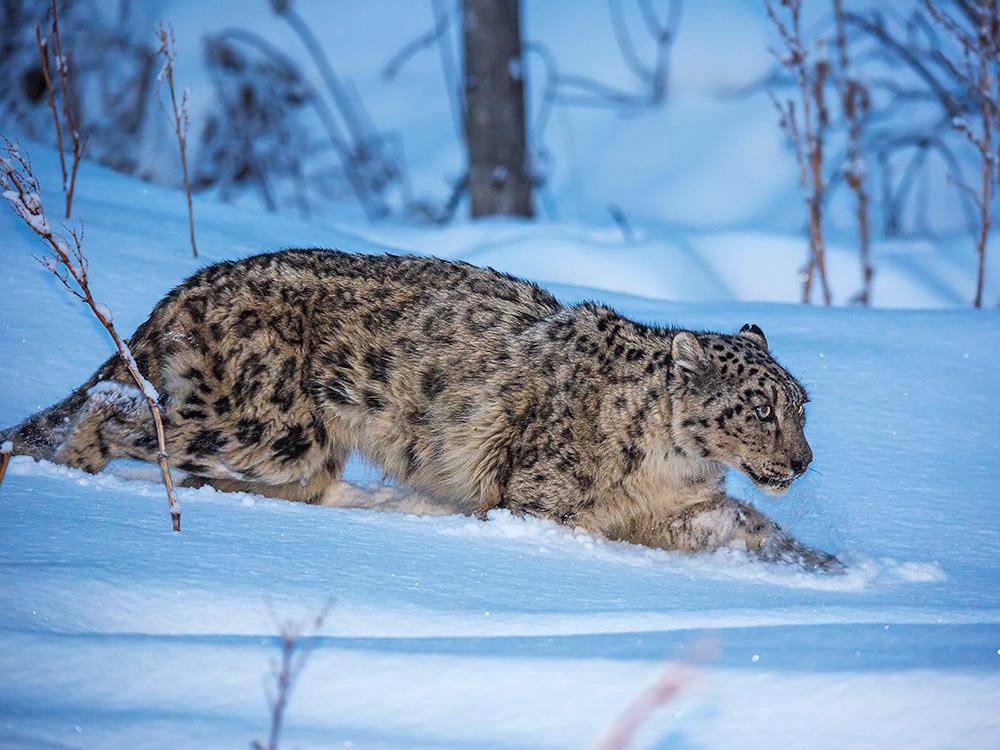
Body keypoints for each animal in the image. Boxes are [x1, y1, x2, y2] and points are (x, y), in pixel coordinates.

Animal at [1, 249, 840, 571]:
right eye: (758, 408)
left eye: (802, 407)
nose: (802, 461)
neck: (670, 466)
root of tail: (188, 287)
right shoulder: (542, 503)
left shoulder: (682, 508)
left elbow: (752, 528)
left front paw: (838, 568)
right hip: (266, 426)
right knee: (116, 412)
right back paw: (76, 469)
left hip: (292, 447)